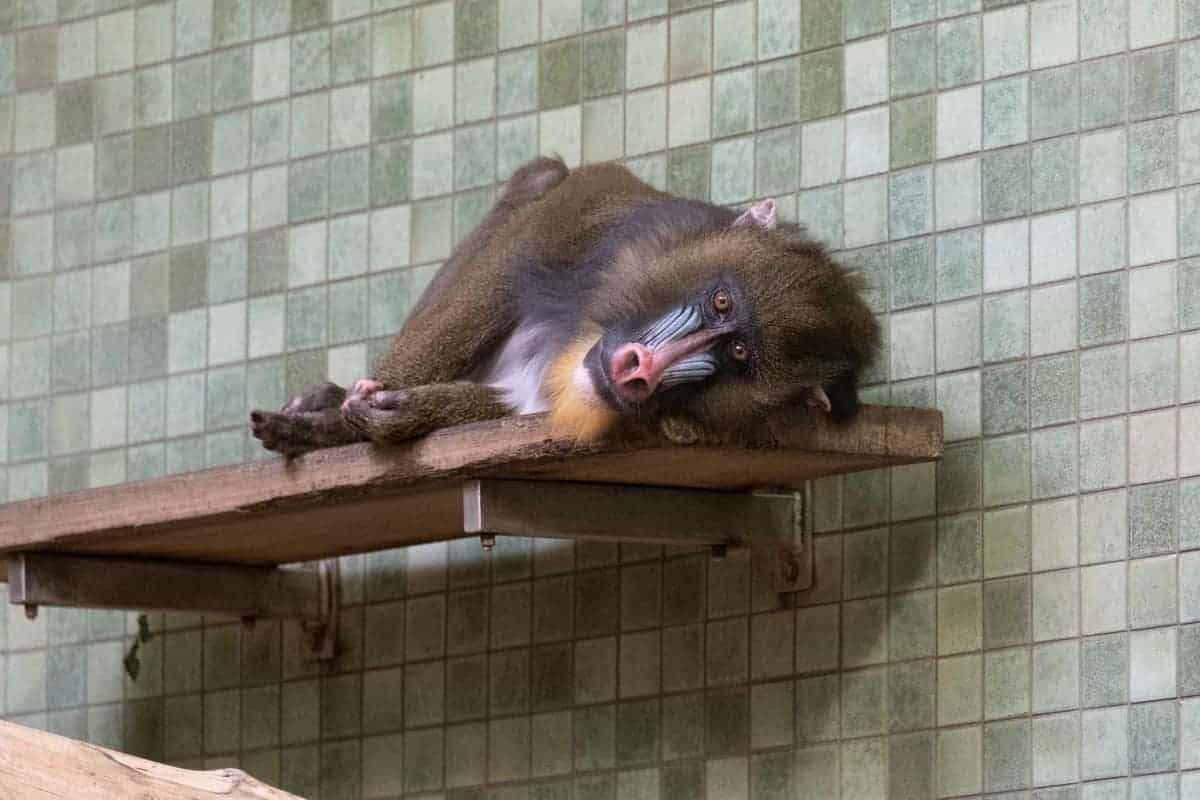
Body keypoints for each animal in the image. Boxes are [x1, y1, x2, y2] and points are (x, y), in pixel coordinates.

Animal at [250, 156, 880, 458]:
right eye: (720, 302)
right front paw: (338, 416)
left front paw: (389, 415)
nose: (643, 367)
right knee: (539, 177)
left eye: (739, 355)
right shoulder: (593, 216)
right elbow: (506, 266)